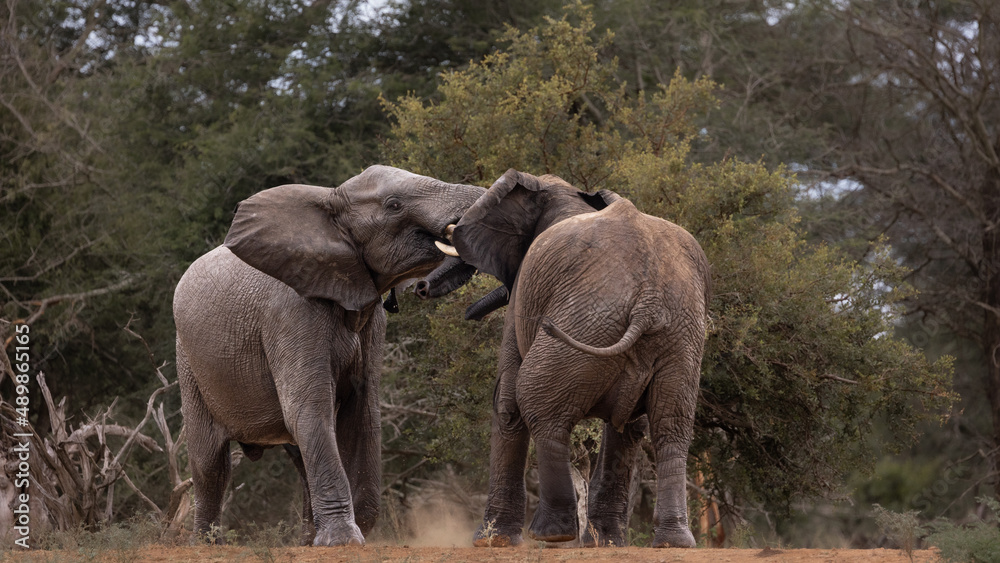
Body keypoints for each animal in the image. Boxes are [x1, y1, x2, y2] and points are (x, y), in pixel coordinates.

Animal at [172, 165, 483, 546]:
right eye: (394, 205)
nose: (422, 288)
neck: (331, 200)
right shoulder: (290, 314)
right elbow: (309, 410)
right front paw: (343, 541)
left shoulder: (371, 320)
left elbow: (363, 414)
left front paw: (354, 530)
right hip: (188, 359)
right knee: (210, 461)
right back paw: (206, 544)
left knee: (297, 453)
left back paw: (306, 540)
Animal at [417, 169, 711, 548]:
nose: (421, 288)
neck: (565, 193)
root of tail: (648, 301)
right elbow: (629, 426)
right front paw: (608, 543)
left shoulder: (523, 292)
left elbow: (506, 402)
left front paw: (491, 541)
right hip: (678, 338)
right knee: (667, 427)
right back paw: (668, 542)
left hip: (588, 320)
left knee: (537, 403)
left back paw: (552, 534)